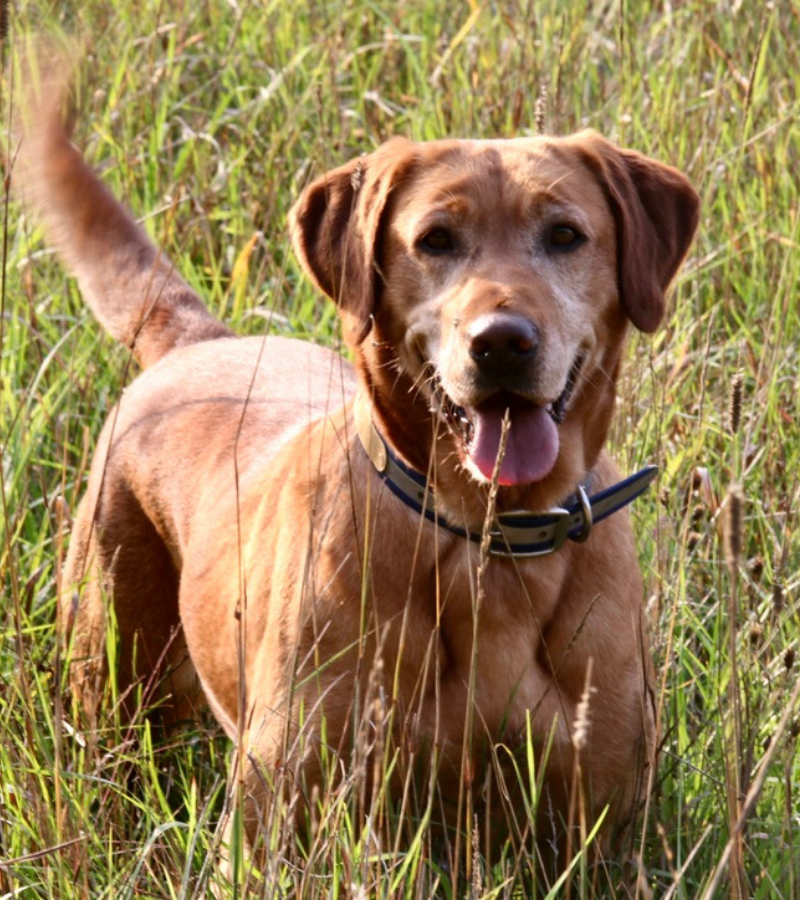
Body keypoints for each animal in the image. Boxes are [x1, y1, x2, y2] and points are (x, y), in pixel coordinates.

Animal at [15, 56, 696, 872]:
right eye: (436, 239)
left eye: (565, 234)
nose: (502, 341)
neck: (488, 545)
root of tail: (198, 341)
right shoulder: (279, 821)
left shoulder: (605, 835)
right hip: (111, 672)